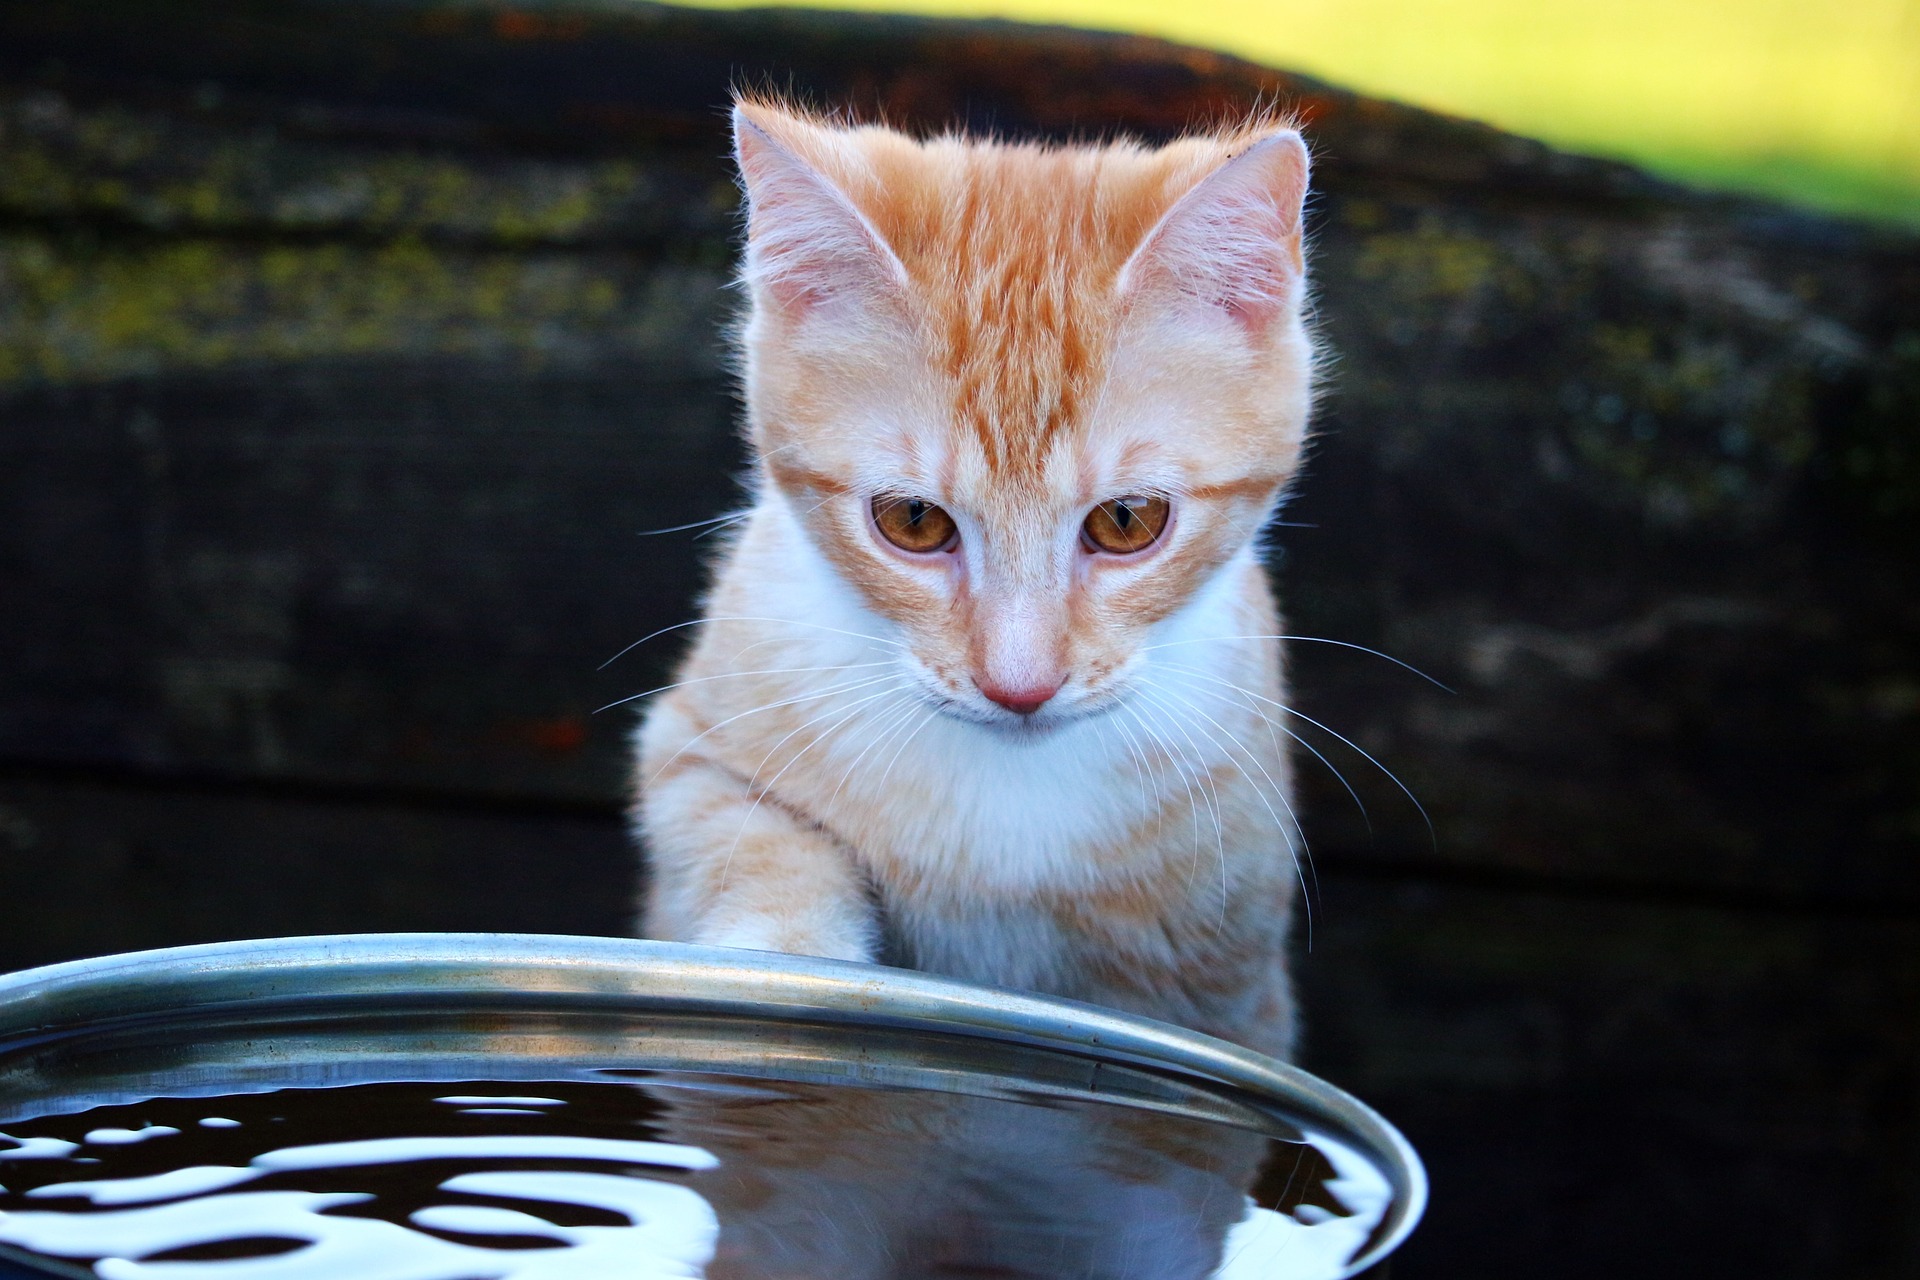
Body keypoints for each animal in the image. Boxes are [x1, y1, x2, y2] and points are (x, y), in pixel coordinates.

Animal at [637, 97, 1313, 1059]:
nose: (1018, 686)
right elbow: (753, 843)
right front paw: (787, 966)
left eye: (1128, 521)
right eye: (914, 522)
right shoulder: (693, 746)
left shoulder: (1232, 974)